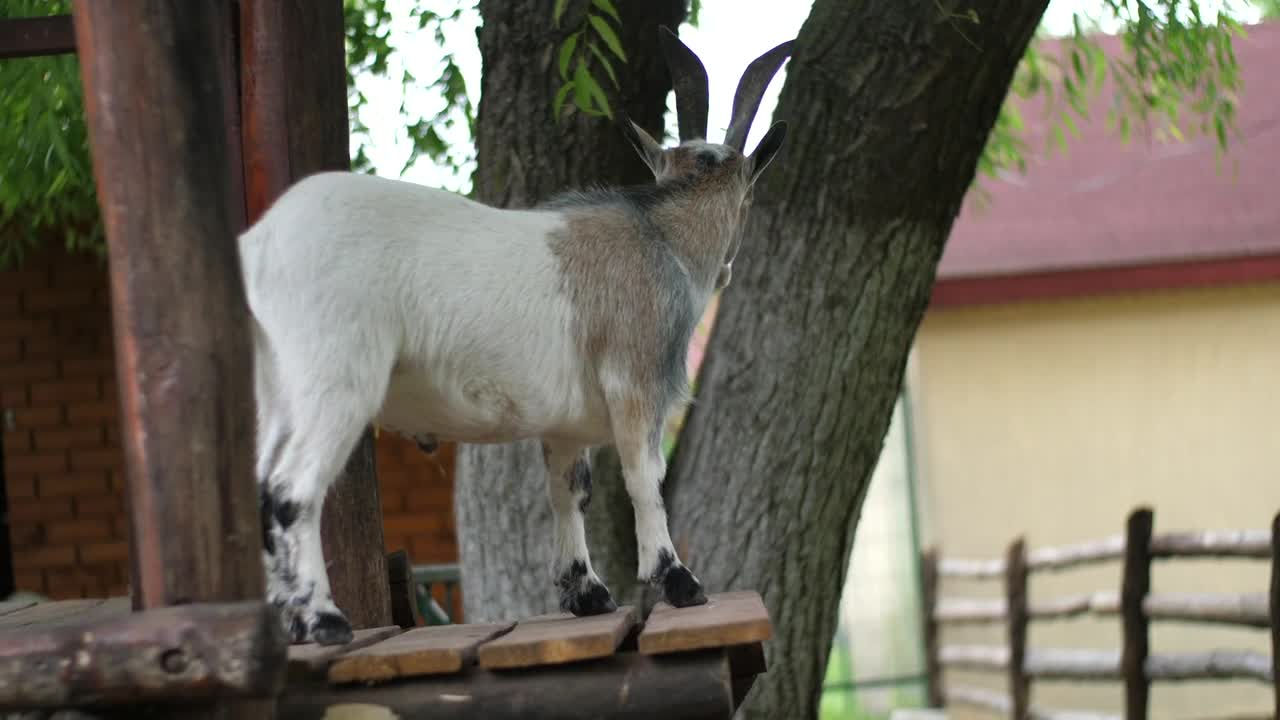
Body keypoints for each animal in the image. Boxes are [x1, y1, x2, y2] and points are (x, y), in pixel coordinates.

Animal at [240, 29, 788, 645]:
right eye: (748, 199)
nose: (727, 273)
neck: (660, 236)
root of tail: (261, 245)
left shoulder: (567, 425)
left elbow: (569, 491)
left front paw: (587, 593)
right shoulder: (635, 379)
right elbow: (645, 478)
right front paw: (679, 582)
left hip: (275, 387)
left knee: (260, 489)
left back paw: (291, 623)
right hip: (334, 375)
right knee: (290, 490)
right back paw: (323, 620)